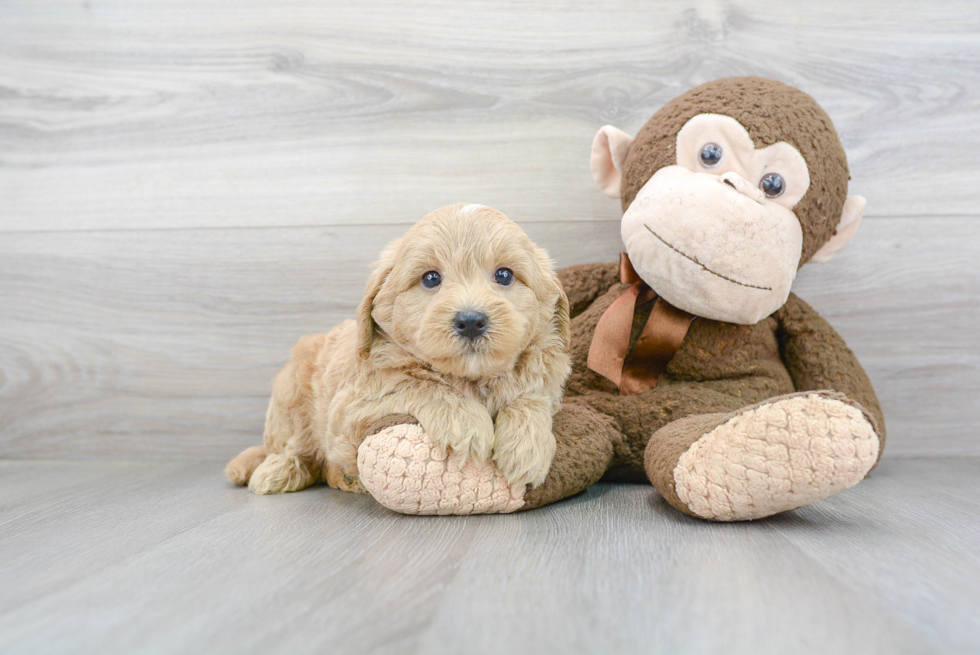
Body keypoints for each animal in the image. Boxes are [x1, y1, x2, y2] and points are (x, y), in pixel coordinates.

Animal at [226, 202, 572, 494]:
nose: (471, 320)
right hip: (290, 393)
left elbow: (530, 396)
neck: (470, 379)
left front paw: (527, 446)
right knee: (295, 447)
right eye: (430, 278)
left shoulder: (546, 379)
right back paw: (279, 471)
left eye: (504, 275)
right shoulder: (350, 406)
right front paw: (465, 423)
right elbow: (414, 382)